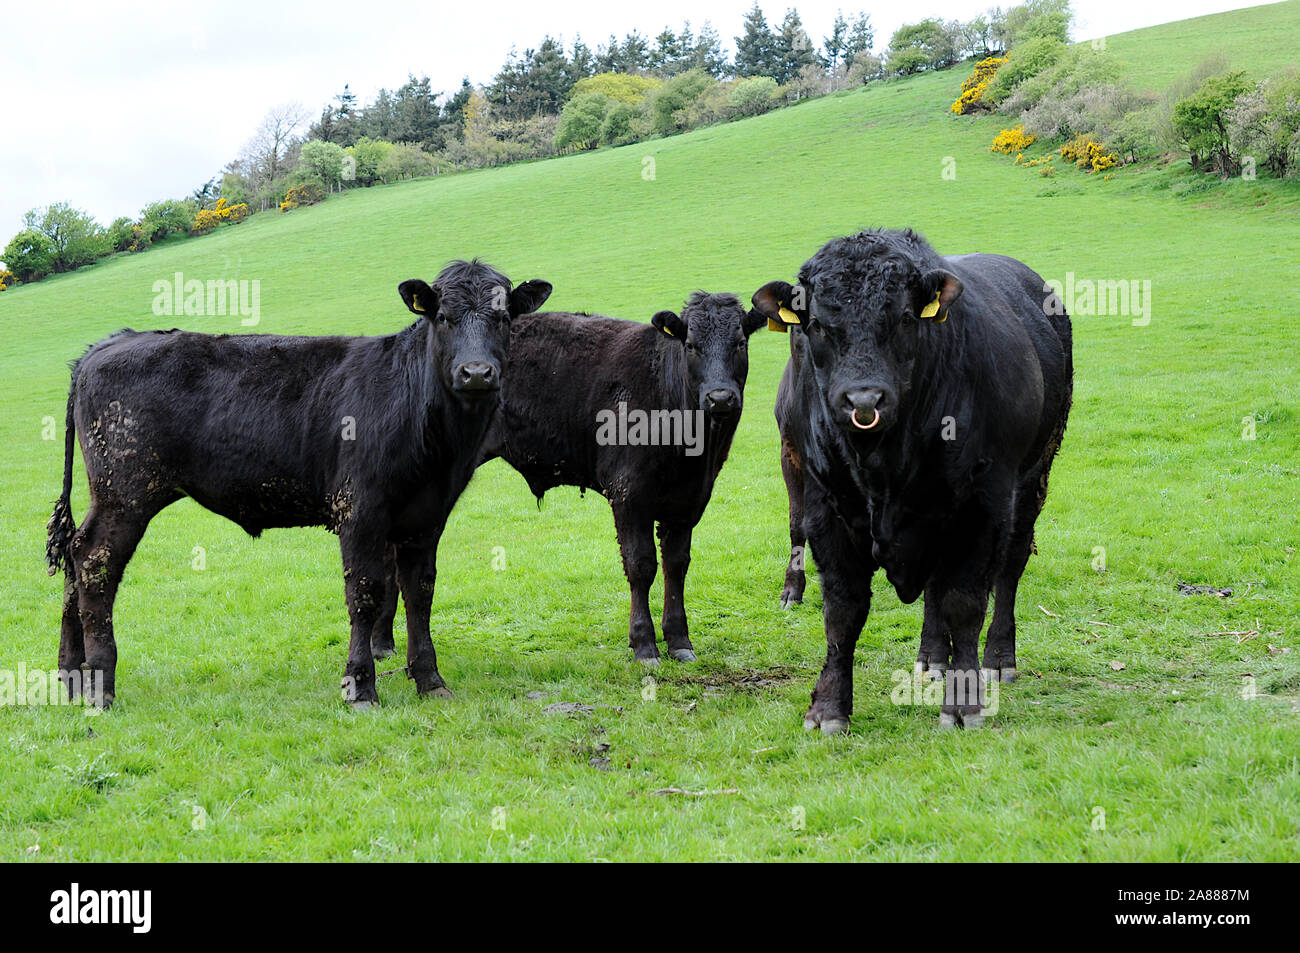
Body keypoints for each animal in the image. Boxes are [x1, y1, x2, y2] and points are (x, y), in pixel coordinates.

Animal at [45, 260, 552, 709]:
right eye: (443, 317)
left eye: (504, 318)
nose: (476, 373)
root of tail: (111, 343)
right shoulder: (358, 510)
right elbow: (365, 595)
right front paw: (360, 688)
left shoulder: (426, 517)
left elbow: (419, 594)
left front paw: (430, 680)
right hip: (124, 494)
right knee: (94, 563)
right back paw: (100, 684)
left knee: (73, 556)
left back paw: (71, 677)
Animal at [370, 292, 766, 666]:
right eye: (691, 345)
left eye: (740, 343)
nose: (719, 397)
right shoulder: (628, 495)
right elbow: (641, 565)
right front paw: (644, 644)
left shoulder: (688, 501)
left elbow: (676, 566)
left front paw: (680, 640)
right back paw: (380, 642)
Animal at [753, 228, 1072, 731]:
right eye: (817, 324)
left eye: (904, 317)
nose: (864, 399)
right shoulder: (825, 502)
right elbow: (843, 608)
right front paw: (829, 708)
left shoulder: (982, 504)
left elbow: (964, 602)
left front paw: (964, 703)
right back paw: (931, 658)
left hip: (1034, 477)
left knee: (1009, 569)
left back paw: (999, 658)